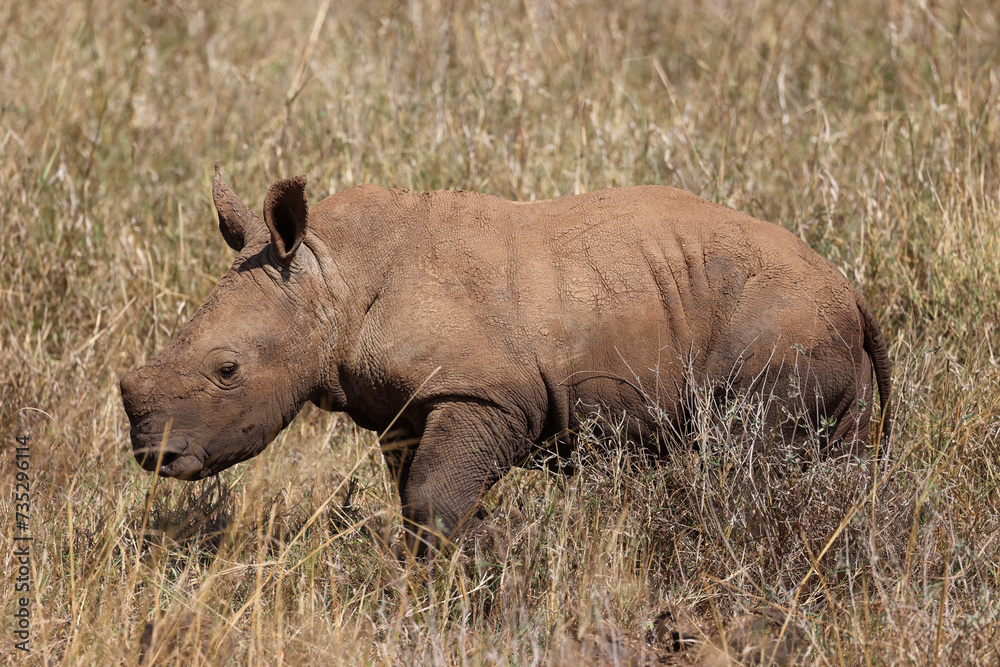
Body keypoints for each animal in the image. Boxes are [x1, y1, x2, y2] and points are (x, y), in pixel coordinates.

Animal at [121, 164, 891, 554]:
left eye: (227, 371)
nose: (154, 454)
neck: (329, 275)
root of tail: (849, 289)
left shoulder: (485, 392)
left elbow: (433, 497)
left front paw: (488, 556)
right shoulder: (405, 408)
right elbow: (417, 495)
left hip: (782, 318)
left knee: (750, 456)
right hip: (812, 324)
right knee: (835, 462)